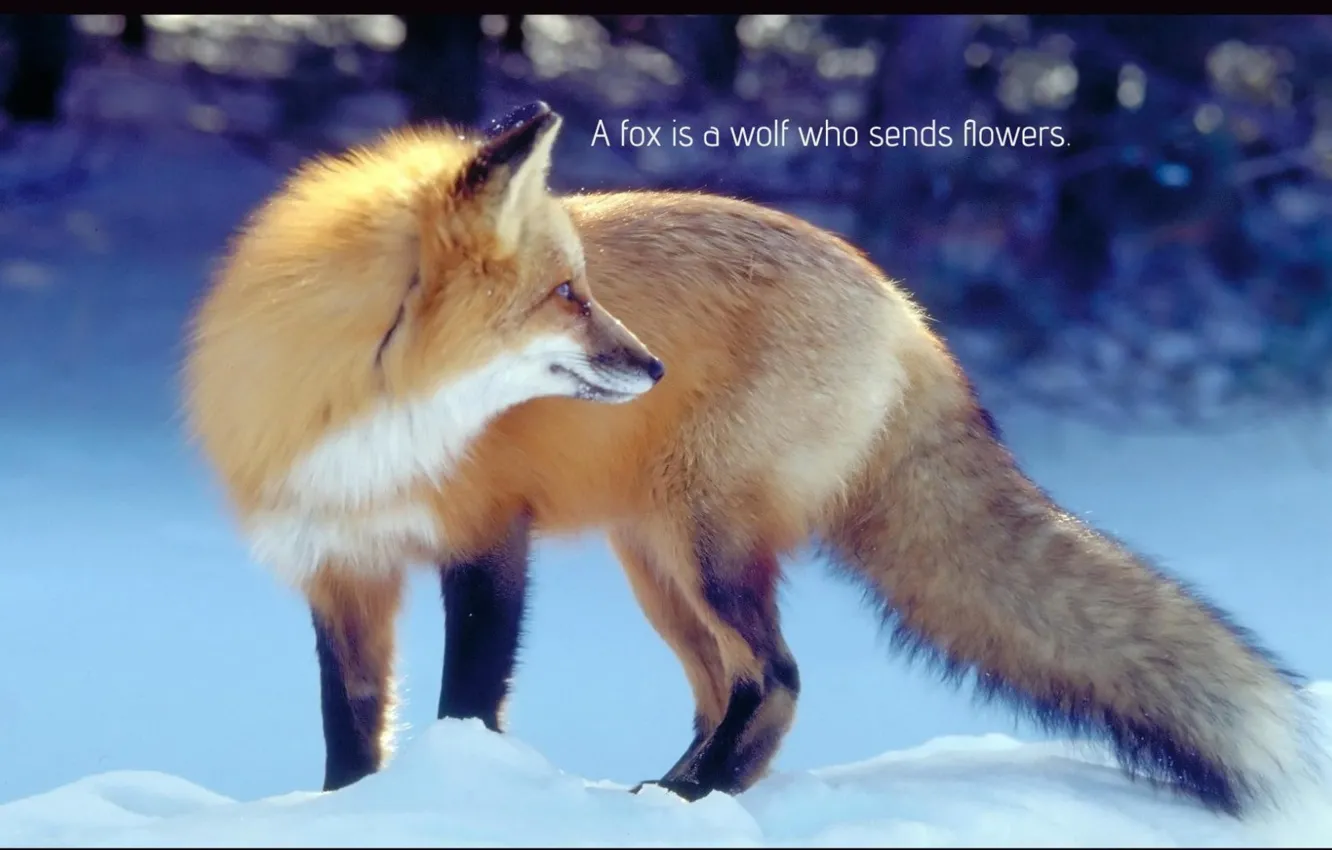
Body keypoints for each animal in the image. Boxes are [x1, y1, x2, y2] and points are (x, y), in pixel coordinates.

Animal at [183, 100, 1315, 815]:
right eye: (568, 296)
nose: (651, 363)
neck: (369, 418)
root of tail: (903, 307)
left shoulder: (488, 539)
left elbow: (468, 702)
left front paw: (457, 798)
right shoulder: (339, 565)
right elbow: (349, 728)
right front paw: (347, 811)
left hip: (704, 541)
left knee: (776, 679)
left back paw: (692, 797)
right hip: (657, 559)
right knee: (723, 687)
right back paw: (675, 792)